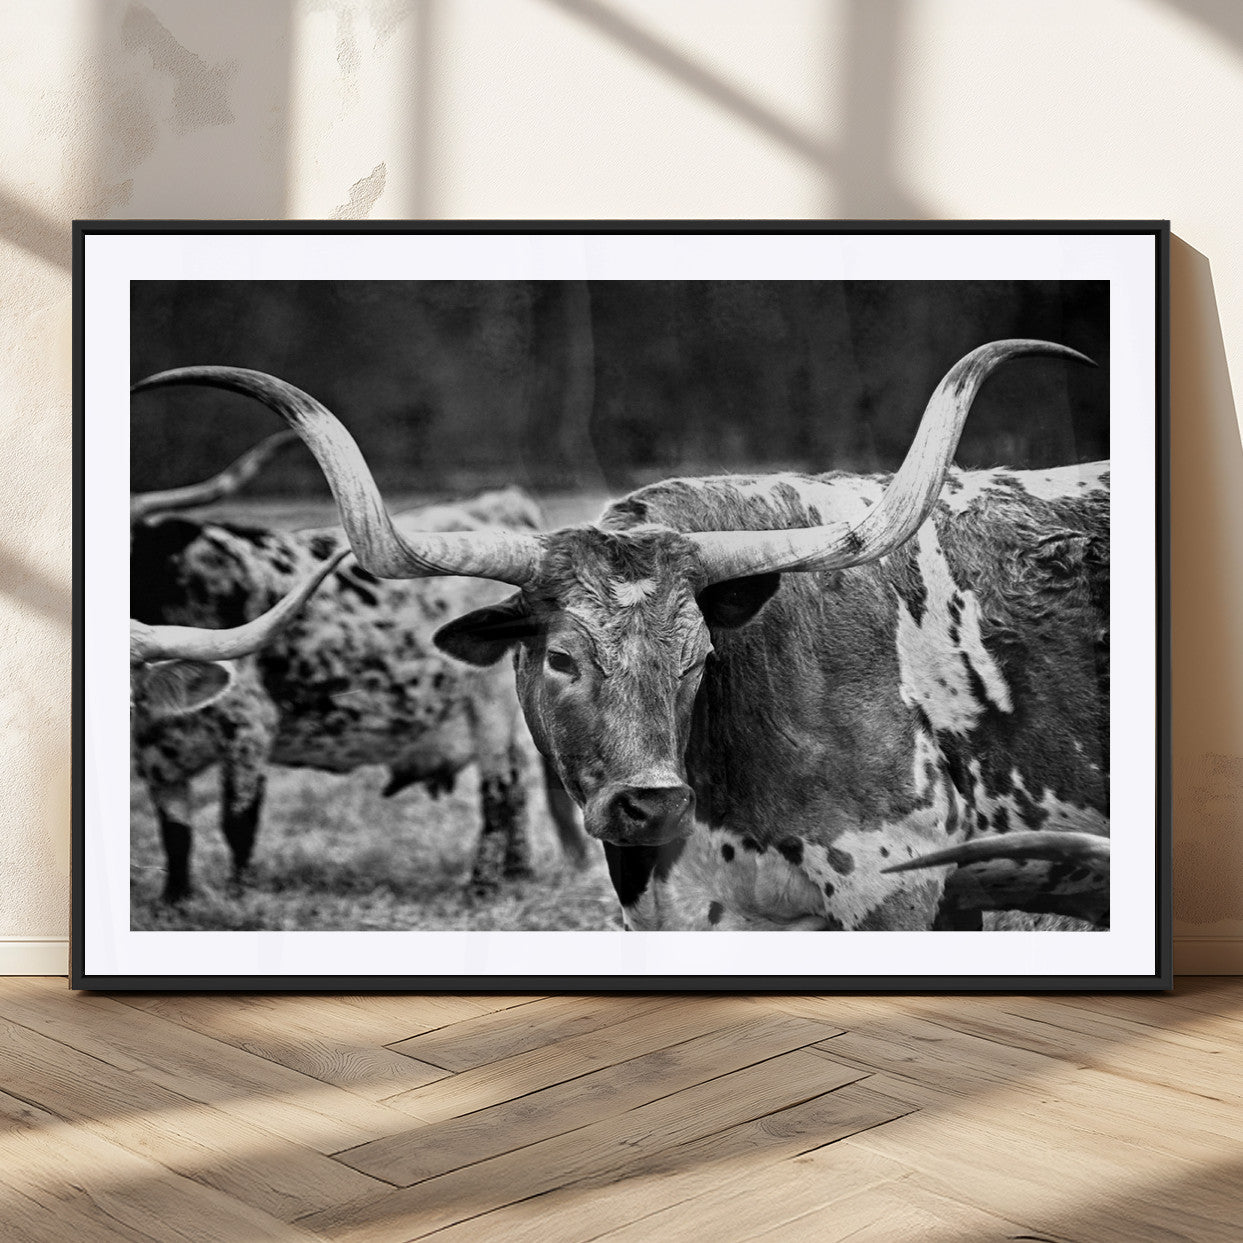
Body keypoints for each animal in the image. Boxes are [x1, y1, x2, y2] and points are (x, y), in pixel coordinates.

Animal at [129, 445, 589, 905]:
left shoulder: (248, 727)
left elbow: (237, 823)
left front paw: (239, 898)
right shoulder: (158, 761)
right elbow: (176, 836)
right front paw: (175, 901)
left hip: (489, 706)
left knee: (500, 787)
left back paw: (483, 884)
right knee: (517, 784)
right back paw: (518, 871)